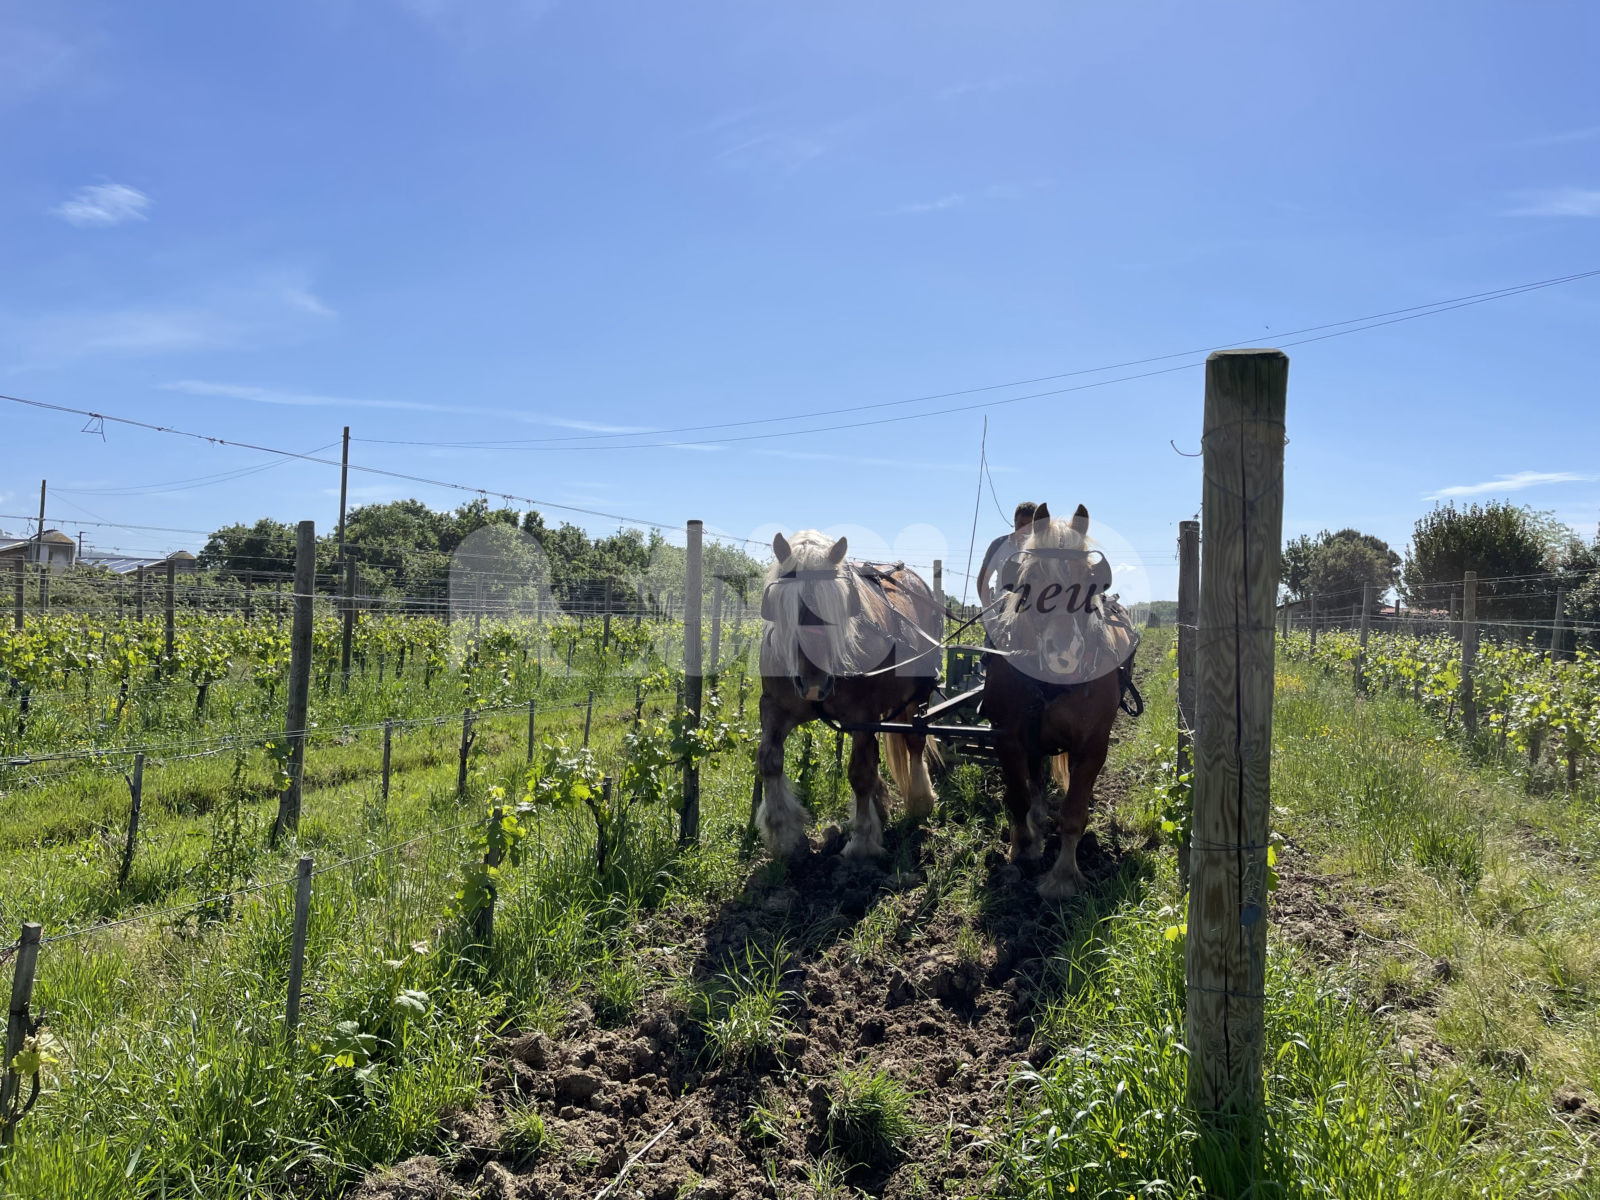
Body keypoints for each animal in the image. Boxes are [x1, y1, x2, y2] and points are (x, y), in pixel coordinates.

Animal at [755, 531, 940, 857]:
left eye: (839, 607)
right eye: (783, 606)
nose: (813, 684)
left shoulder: (862, 715)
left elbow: (859, 773)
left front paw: (862, 841)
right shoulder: (775, 708)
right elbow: (769, 761)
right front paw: (784, 835)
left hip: (918, 693)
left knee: (914, 742)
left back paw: (919, 800)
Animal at [972, 502, 1139, 896]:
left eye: (1093, 580)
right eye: (1029, 579)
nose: (1065, 655)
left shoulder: (1093, 745)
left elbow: (1074, 813)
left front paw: (1062, 877)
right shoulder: (1007, 737)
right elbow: (1018, 797)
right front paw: (1024, 847)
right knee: (1033, 782)